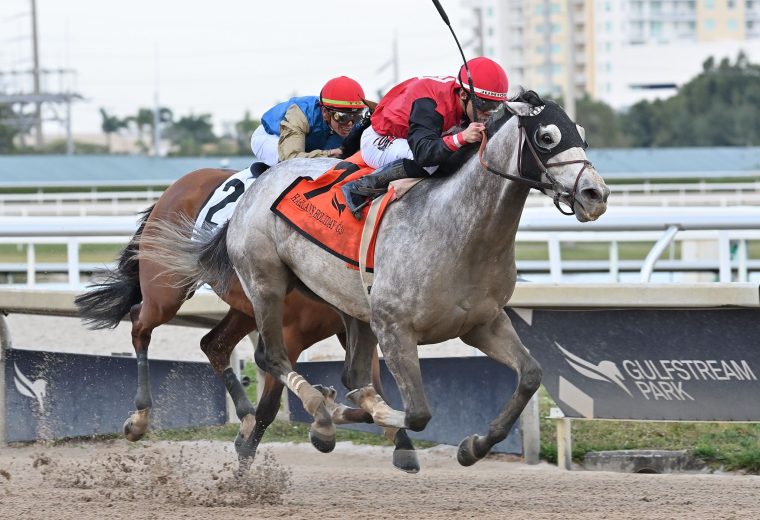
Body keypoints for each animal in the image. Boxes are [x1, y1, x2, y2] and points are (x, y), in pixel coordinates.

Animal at [74, 165, 418, 474]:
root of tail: (181, 183)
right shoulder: (289, 334)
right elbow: (270, 402)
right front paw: (250, 457)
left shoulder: (352, 329)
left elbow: (374, 395)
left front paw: (398, 442)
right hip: (166, 291)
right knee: (139, 324)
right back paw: (139, 419)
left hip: (243, 309)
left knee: (213, 344)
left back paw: (244, 416)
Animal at [138, 92, 612, 468]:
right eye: (547, 137)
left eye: (583, 135)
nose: (596, 194)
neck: (457, 232)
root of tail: (256, 186)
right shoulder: (394, 327)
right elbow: (417, 412)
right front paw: (337, 420)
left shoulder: (482, 323)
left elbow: (530, 376)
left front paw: (473, 446)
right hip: (257, 284)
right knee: (261, 355)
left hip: (344, 307)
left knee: (279, 359)